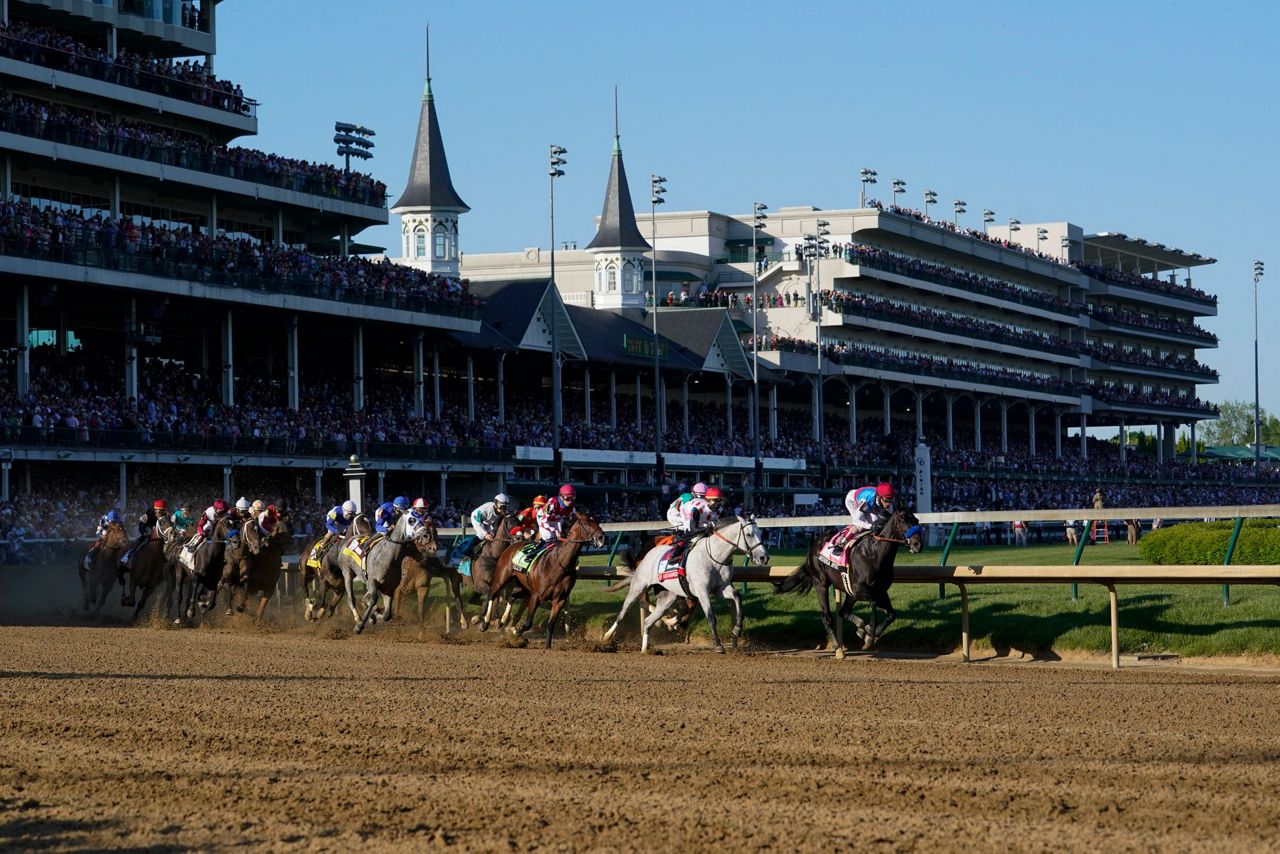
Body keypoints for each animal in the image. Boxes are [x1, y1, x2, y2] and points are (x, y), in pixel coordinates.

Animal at [481, 507, 606, 647]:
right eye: (585, 523)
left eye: (597, 521)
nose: (602, 537)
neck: (559, 563)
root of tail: (511, 545)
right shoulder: (536, 596)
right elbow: (528, 623)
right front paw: (515, 633)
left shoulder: (559, 599)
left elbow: (551, 624)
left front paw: (547, 646)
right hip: (502, 578)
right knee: (492, 594)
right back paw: (485, 623)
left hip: (525, 587)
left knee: (512, 596)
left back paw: (502, 621)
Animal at [601, 514, 768, 655]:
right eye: (749, 534)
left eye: (760, 533)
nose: (764, 557)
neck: (714, 557)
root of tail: (647, 554)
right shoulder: (702, 591)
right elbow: (711, 617)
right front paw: (718, 645)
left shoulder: (720, 588)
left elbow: (737, 597)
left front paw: (737, 629)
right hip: (638, 587)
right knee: (623, 613)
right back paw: (607, 637)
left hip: (667, 598)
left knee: (648, 621)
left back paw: (645, 649)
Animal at [768, 512, 921, 660]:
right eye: (901, 520)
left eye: (916, 520)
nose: (918, 544)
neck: (874, 554)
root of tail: (813, 547)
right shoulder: (860, 590)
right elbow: (873, 604)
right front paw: (869, 636)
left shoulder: (881, 591)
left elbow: (891, 614)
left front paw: (870, 632)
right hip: (821, 584)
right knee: (827, 617)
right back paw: (838, 648)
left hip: (848, 590)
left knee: (843, 611)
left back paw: (859, 627)